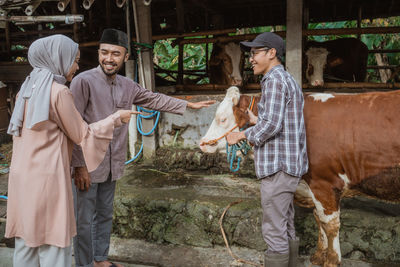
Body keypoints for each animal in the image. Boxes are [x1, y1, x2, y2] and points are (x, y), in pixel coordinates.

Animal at [202, 86, 400, 267]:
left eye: (222, 119)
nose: (202, 143)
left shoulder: (324, 183)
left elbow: (330, 224)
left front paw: (332, 260)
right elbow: (318, 218)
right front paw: (319, 256)